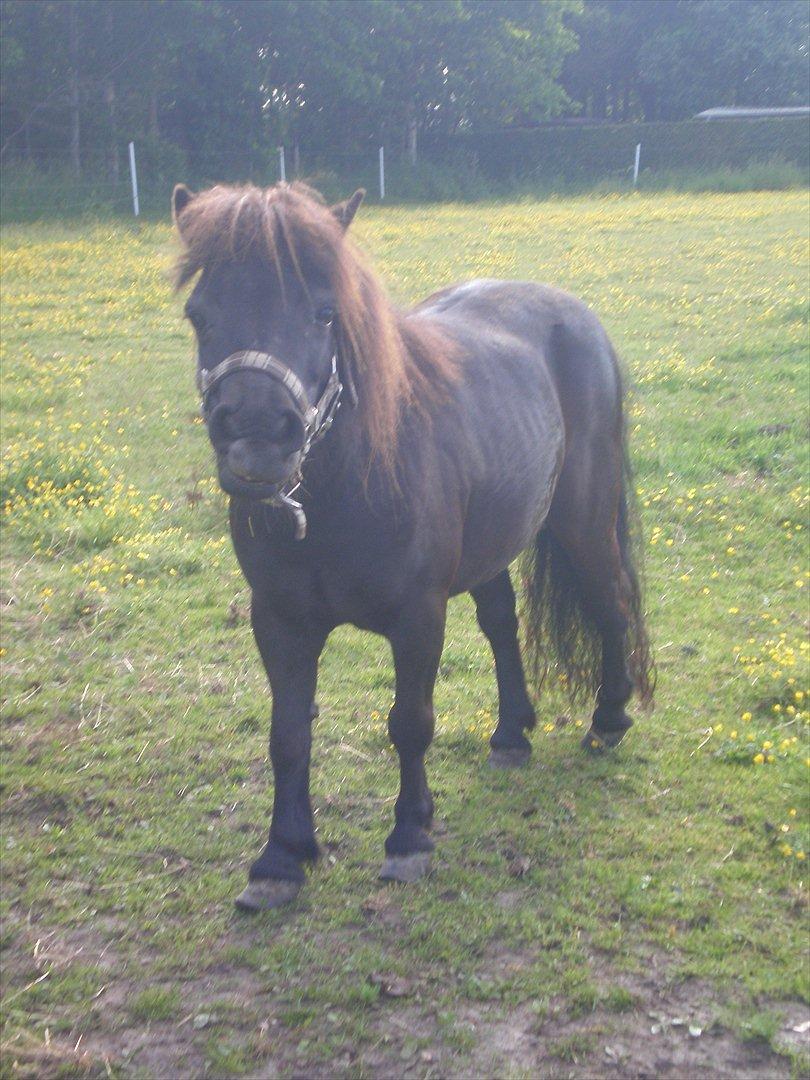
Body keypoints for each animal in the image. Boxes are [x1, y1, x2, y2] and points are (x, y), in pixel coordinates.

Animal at [171, 181, 654, 911]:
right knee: (503, 624)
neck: (343, 489)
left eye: (324, 312)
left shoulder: (418, 617)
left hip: (583, 521)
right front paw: (281, 857)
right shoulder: (278, 621)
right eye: (199, 314)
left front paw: (409, 836)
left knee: (611, 601)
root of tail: (576, 315)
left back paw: (609, 717)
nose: (257, 440)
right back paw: (511, 733)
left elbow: (409, 722)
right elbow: (288, 733)